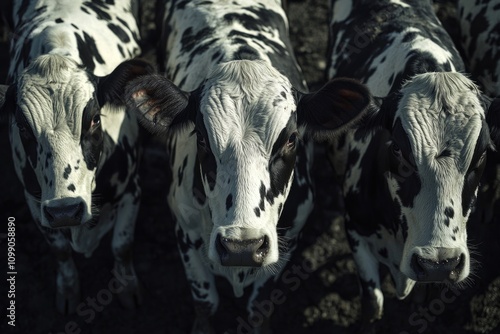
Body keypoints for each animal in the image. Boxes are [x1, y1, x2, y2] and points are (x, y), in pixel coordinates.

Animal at [0, 0, 154, 314]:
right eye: (22, 127)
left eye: (94, 119)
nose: (65, 211)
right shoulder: (34, 199)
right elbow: (59, 251)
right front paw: (68, 290)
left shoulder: (131, 187)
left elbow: (122, 245)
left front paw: (127, 288)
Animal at [126, 0, 372, 332]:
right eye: (201, 137)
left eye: (291, 139)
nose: (241, 247)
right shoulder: (184, 228)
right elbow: (205, 302)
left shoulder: (289, 239)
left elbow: (260, 306)